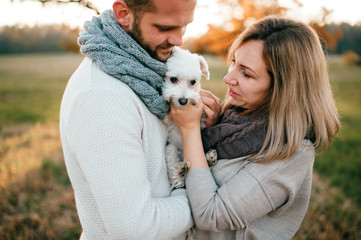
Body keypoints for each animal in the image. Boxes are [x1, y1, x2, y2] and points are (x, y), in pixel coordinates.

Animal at [163, 46, 217, 189]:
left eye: (193, 82)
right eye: (173, 79)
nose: (183, 100)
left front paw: (203, 113)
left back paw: (210, 159)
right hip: (171, 149)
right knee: (174, 174)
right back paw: (180, 172)